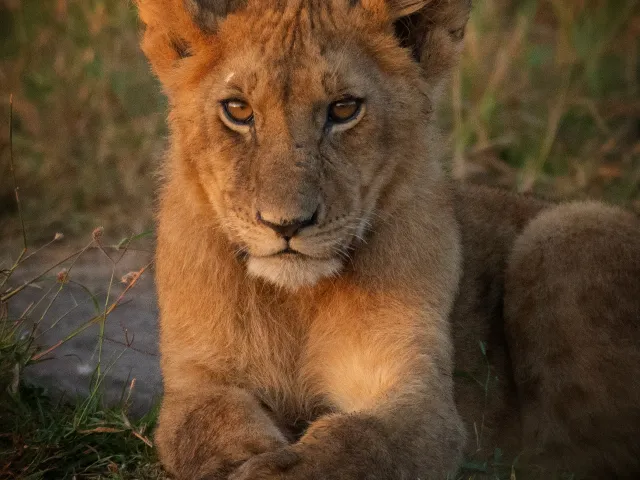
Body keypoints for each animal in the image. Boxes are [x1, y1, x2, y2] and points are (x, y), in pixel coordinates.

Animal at [136, 1, 640, 478]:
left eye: (344, 109)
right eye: (238, 110)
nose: (286, 224)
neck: (297, 302)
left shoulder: (416, 392)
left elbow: (361, 442)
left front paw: (277, 471)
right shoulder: (200, 381)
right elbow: (204, 427)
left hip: (568, 227)